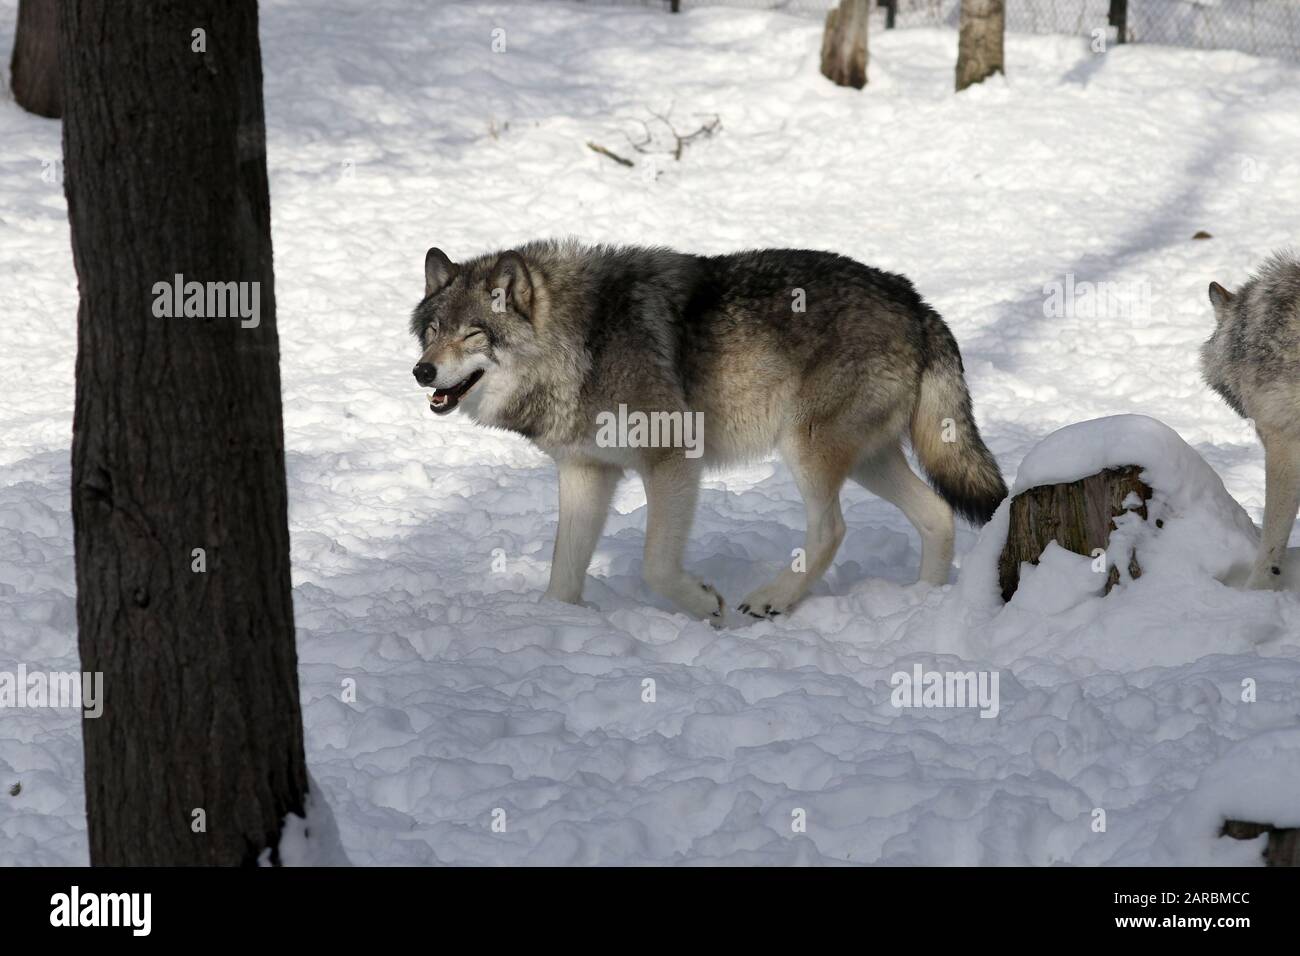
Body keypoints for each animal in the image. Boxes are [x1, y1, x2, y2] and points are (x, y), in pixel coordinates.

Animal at [405, 240, 1003, 621]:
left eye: (473, 334)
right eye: (432, 331)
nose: (422, 372)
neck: (583, 345)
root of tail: (915, 300)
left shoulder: (672, 460)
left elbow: (656, 567)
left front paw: (703, 606)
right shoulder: (585, 472)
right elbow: (562, 573)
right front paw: (559, 625)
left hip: (807, 449)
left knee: (833, 528)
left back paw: (773, 598)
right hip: (867, 461)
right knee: (938, 513)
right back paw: (923, 603)